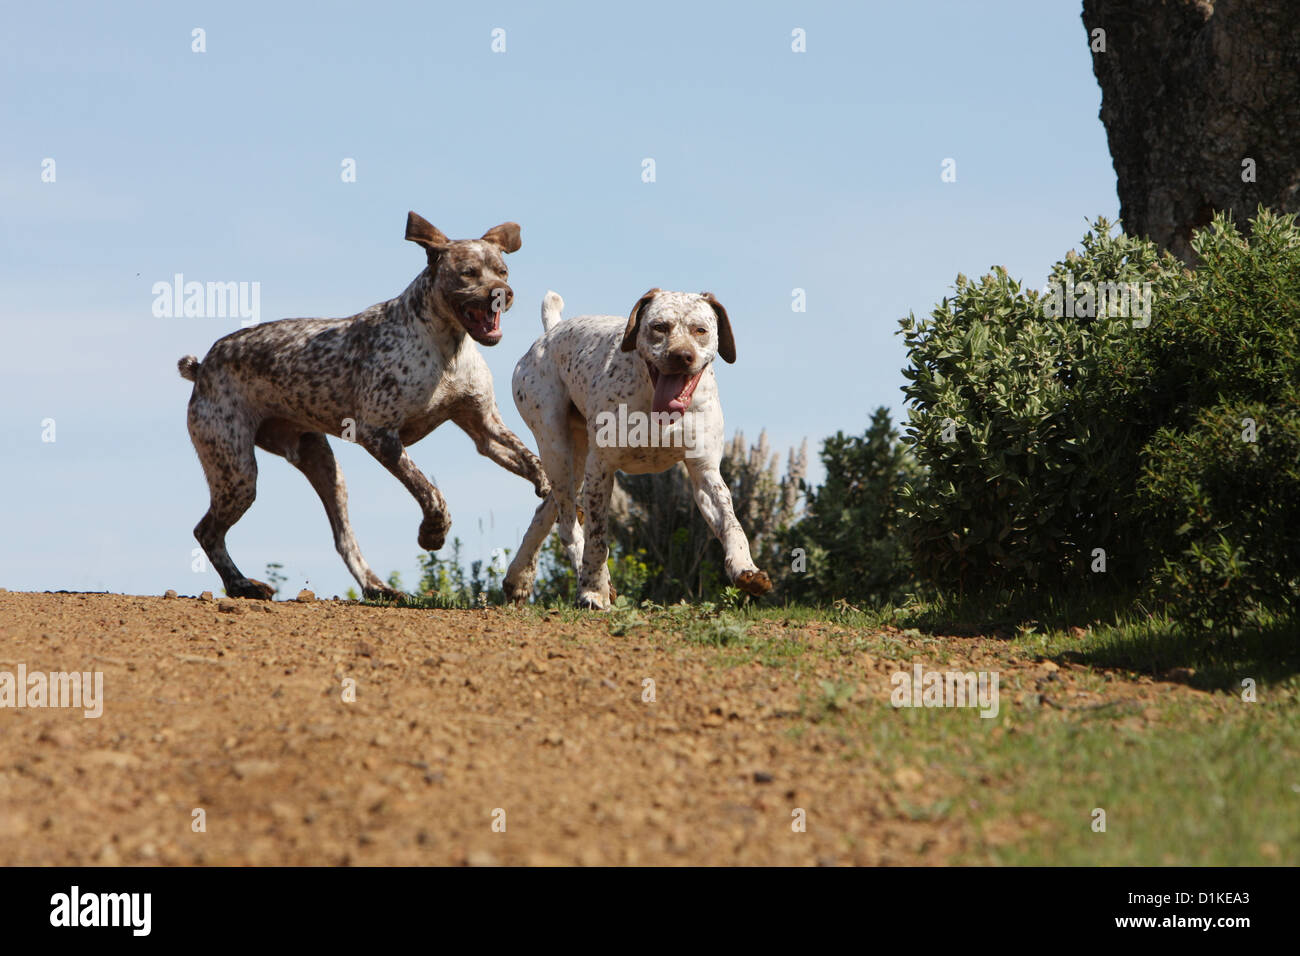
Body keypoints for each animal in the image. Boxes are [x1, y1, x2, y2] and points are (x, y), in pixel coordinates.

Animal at [179, 212, 548, 598]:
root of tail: (203, 366)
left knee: (344, 539)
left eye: (502, 271)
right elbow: (431, 492)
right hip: (237, 472)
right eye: (468, 272)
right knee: (206, 532)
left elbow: (529, 457)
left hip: (324, 468)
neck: (446, 348)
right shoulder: (379, 434)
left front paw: (546, 487)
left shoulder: (484, 427)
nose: (502, 293)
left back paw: (376, 586)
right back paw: (241, 585)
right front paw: (432, 533)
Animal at [501, 287, 769, 608]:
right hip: (556, 449)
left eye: (700, 330)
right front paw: (592, 590)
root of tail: (551, 331)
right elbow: (597, 538)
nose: (682, 356)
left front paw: (745, 568)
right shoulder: (601, 468)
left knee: (545, 510)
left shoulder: (705, 473)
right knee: (567, 525)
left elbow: (732, 524)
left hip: (574, 461)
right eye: (659, 327)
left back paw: (519, 577)